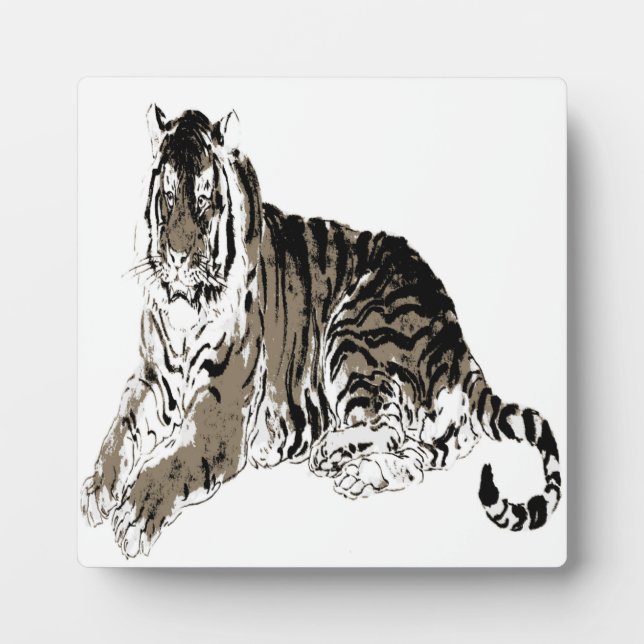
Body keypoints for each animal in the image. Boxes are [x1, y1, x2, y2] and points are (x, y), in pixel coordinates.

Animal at [80, 105, 562, 559]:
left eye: (202, 199)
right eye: (167, 195)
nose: (178, 259)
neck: (185, 307)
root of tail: (457, 339)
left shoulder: (220, 408)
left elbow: (171, 463)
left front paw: (135, 516)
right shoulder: (149, 380)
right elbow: (119, 431)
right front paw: (97, 491)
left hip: (355, 333)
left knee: (386, 425)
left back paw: (332, 451)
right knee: (412, 457)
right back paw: (358, 475)